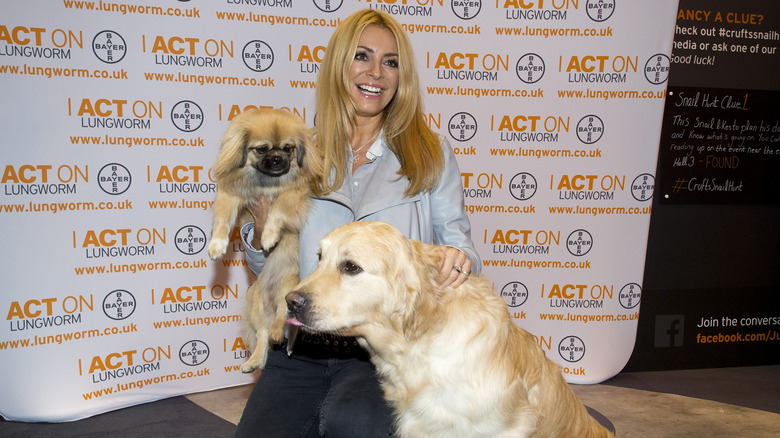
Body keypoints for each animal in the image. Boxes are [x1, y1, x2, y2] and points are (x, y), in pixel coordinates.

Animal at [207, 108, 322, 372]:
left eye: (288, 148)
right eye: (261, 149)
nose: (278, 159)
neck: (267, 183)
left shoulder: (294, 194)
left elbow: (277, 209)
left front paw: (269, 236)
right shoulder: (231, 194)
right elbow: (221, 221)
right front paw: (216, 246)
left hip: (289, 288)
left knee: (282, 317)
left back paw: (278, 333)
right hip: (255, 297)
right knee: (262, 333)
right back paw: (254, 360)